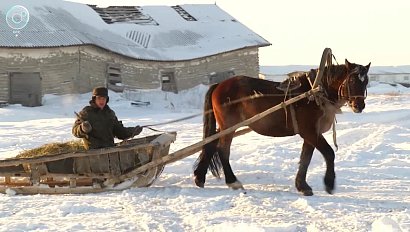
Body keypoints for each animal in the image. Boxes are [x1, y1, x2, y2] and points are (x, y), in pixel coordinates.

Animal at [194, 59, 370, 196]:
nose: (359, 105)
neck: (315, 93)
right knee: (223, 149)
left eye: (366, 81)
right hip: (229, 125)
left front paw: (302, 186)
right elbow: (329, 153)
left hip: (225, 126)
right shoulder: (309, 132)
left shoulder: (310, 134)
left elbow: (305, 158)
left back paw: (199, 177)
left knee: (211, 144)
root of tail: (219, 84)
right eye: (352, 81)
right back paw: (232, 181)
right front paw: (329, 183)